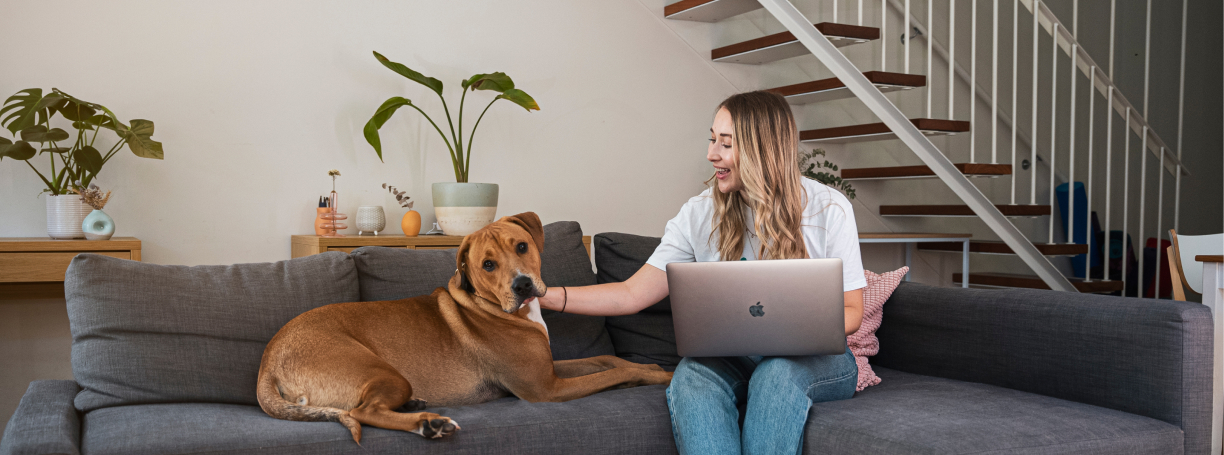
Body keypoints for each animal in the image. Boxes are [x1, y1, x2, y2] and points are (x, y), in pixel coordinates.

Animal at [255, 211, 670, 442]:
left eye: (521, 247)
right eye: (487, 265)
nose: (522, 286)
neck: (496, 307)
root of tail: (269, 360)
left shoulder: (550, 369)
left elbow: (607, 361)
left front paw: (647, 365)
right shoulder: (546, 388)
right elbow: (610, 375)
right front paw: (656, 375)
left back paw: (419, 409)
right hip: (383, 372)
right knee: (363, 412)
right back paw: (428, 424)